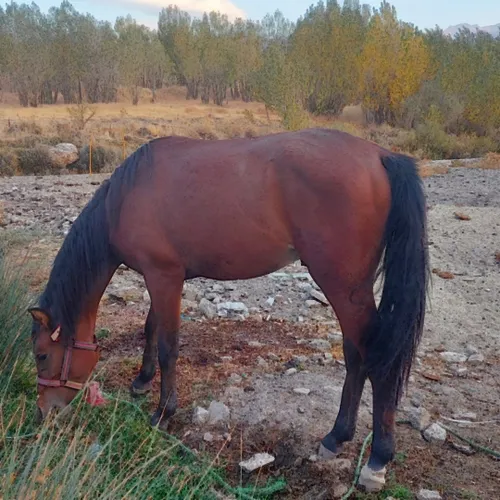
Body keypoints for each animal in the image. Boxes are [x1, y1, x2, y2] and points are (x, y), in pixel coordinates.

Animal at [29, 128, 430, 492]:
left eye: (41, 355)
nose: (44, 413)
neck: (126, 197)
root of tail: (381, 155)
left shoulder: (163, 276)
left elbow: (168, 346)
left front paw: (163, 412)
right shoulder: (161, 278)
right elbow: (151, 328)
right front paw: (142, 381)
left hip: (344, 288)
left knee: (377, 359)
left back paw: (377, 459)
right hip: (349, 291)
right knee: (355, 355)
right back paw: (336, 437)